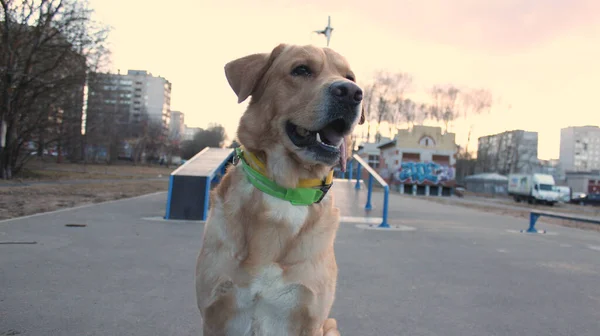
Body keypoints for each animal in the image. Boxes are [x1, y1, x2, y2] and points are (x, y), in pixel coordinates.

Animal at [197, 43, 366, 334]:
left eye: (350, 77)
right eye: (301, 70)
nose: (351, 93)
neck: (287, 189)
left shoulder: (310, 318)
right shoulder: (213, 312)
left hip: (330, 326)